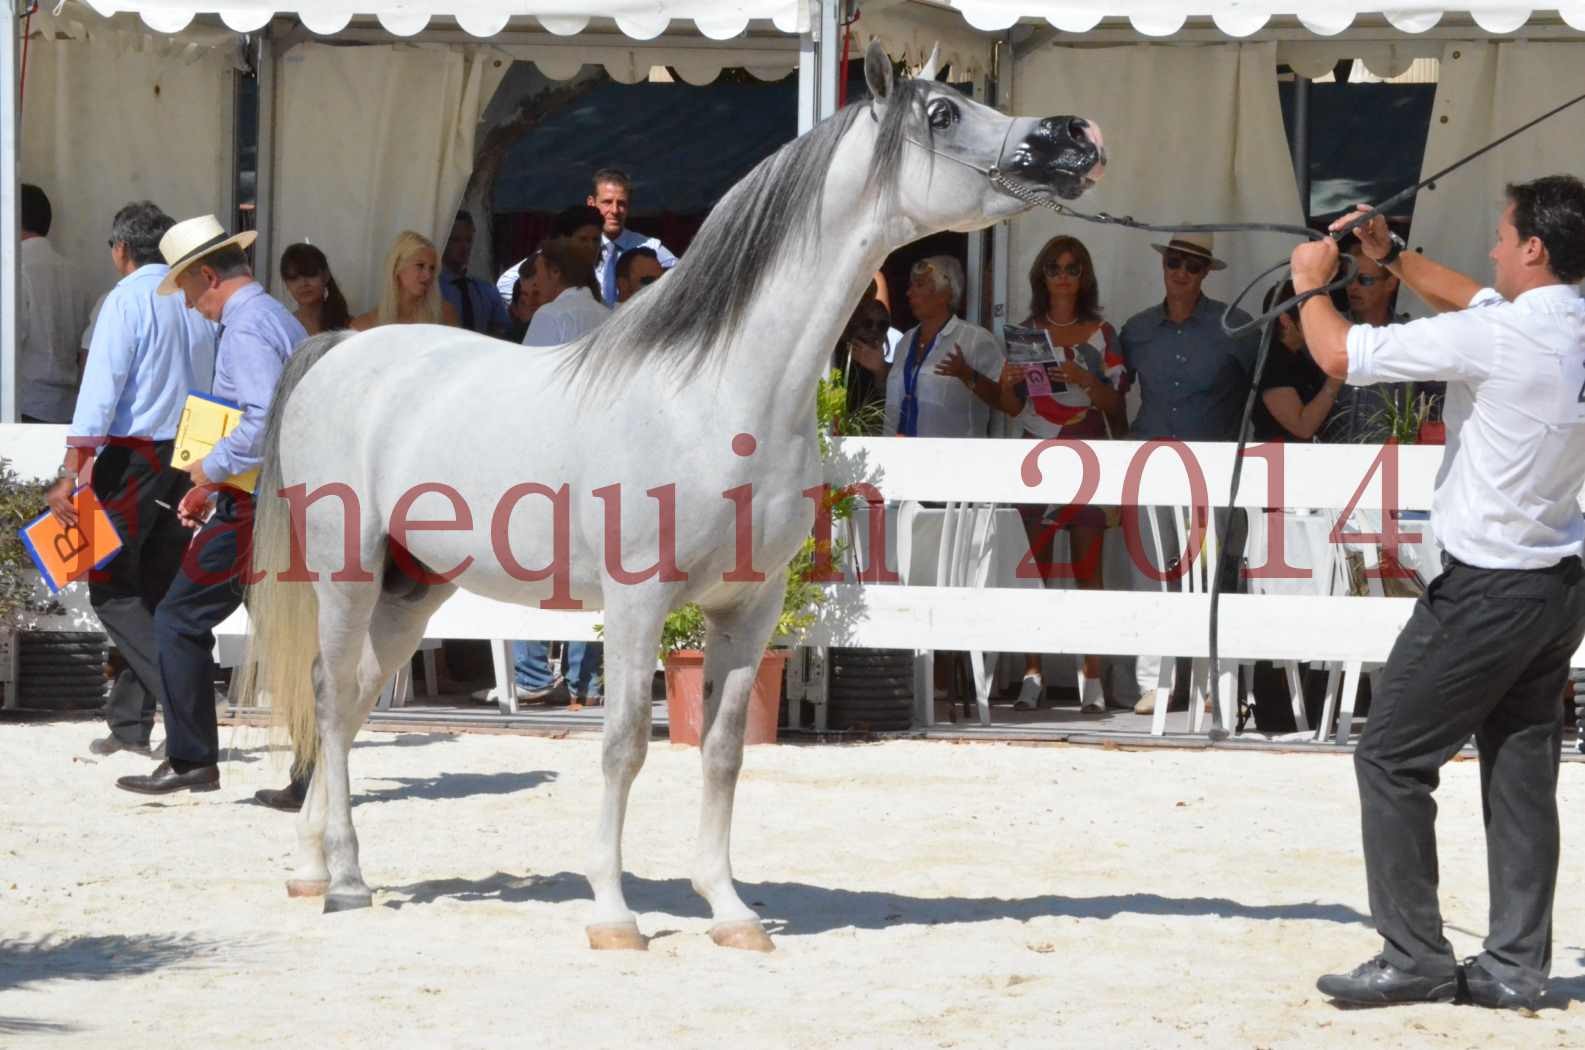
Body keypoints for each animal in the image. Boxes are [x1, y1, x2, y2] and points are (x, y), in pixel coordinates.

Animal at [240, 45, 1103, 951]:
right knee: (329, 693)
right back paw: (342, 878)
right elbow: (623, 745)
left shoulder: (751, 608)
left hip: (415, 586)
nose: (1072, 136)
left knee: (356, 696)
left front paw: (730, 910)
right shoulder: (636, 602)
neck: (717, 394)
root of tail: (340, 349)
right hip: (347, 571)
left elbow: (722, 751)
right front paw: (614, 914)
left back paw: (314, 868)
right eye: (940, 114)